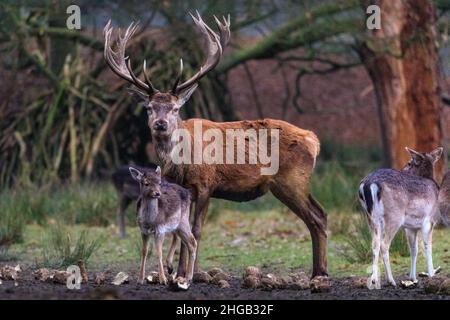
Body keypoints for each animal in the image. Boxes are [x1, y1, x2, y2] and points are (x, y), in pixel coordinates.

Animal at [103, 11, 326, 278]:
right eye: (149, 107)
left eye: (175, 108)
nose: (160, 124)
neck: (181, 164)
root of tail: (314, 139)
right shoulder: (181, 188)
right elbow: (181, 229)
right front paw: (179, 270)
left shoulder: (206, 184)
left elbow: (196, 229)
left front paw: (188, 272)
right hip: (296, 183)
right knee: (320, 214)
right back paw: (318, 270)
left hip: (291, 180)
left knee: (316, 217)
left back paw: (320, 272)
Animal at [358, 148, 442, 290]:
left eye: (409, 163)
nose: (403, 169)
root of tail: (368, 185)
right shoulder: (429, 220)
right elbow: (427, 247)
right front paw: (431, 274)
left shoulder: (411, 227)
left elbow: (414, 249)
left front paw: (413, 278)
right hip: (394, 216)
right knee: (384, 244)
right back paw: (391, 281)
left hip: (370, 217)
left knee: (374, 244)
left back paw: (374, 280)